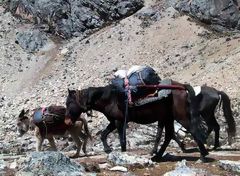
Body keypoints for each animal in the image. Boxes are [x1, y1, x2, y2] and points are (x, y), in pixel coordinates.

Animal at [64, 82, 209, 162]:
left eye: (69, 103)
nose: (66, 121)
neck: (108, 98)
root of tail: (181, 87)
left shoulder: (119, 122)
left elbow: (121, 139)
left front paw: (122, 153)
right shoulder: (114, 121)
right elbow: (104, 134)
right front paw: (108, 149)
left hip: (180, 117)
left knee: (192, 130)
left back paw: (203, 155)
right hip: (168, 118)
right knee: (168, 135)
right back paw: (157, 156)